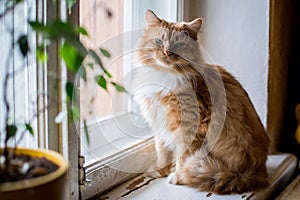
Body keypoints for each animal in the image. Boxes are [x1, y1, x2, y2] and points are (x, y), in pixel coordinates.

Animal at [133, 10, 270, 195]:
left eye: (178, 45)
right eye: (158, 41)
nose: (167, 53)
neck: (164, 76)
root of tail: (253, 173)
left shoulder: (189, 128)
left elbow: (182, 157)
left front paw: (178, 176)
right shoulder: (159, 123)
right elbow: (162, 153)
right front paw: (160, 171)